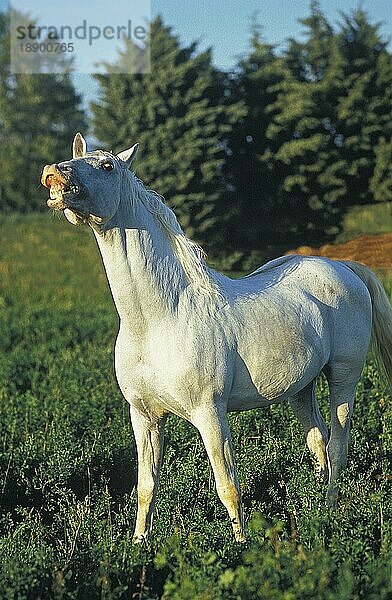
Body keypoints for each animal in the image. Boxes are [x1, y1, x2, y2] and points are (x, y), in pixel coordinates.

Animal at [40, 134, 392, 540]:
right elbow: (146, 486)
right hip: (301, 389)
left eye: (108, 166)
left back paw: (330, 514)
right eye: (75, 157)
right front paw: (139, 544)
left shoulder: (210, 415)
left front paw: (240, 545)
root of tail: (344, 267)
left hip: (344, 377)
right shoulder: (144, 417)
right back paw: (314, 508)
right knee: (317, 442)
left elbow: (228, 485)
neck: (160, 318)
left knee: (337, 446)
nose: (52, 174)